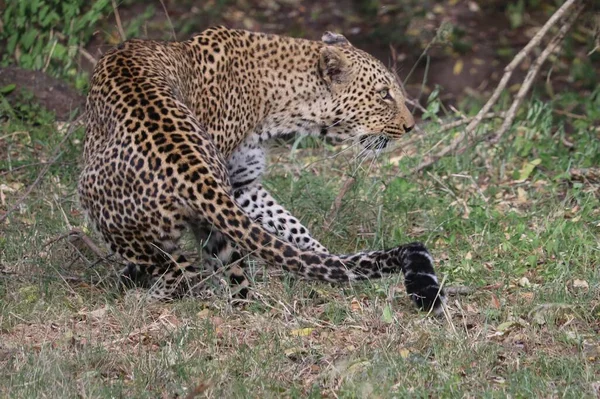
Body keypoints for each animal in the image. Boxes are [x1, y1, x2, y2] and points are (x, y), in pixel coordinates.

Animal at [78, 26, 446, 314]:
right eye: (383, 95)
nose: (411, 127)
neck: (279, 104)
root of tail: (188, 169)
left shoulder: (240, 184)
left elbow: (290, 224)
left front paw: (324, 257)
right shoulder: (237, 185)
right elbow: (284, 224)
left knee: (191, 272)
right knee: (206, 270)